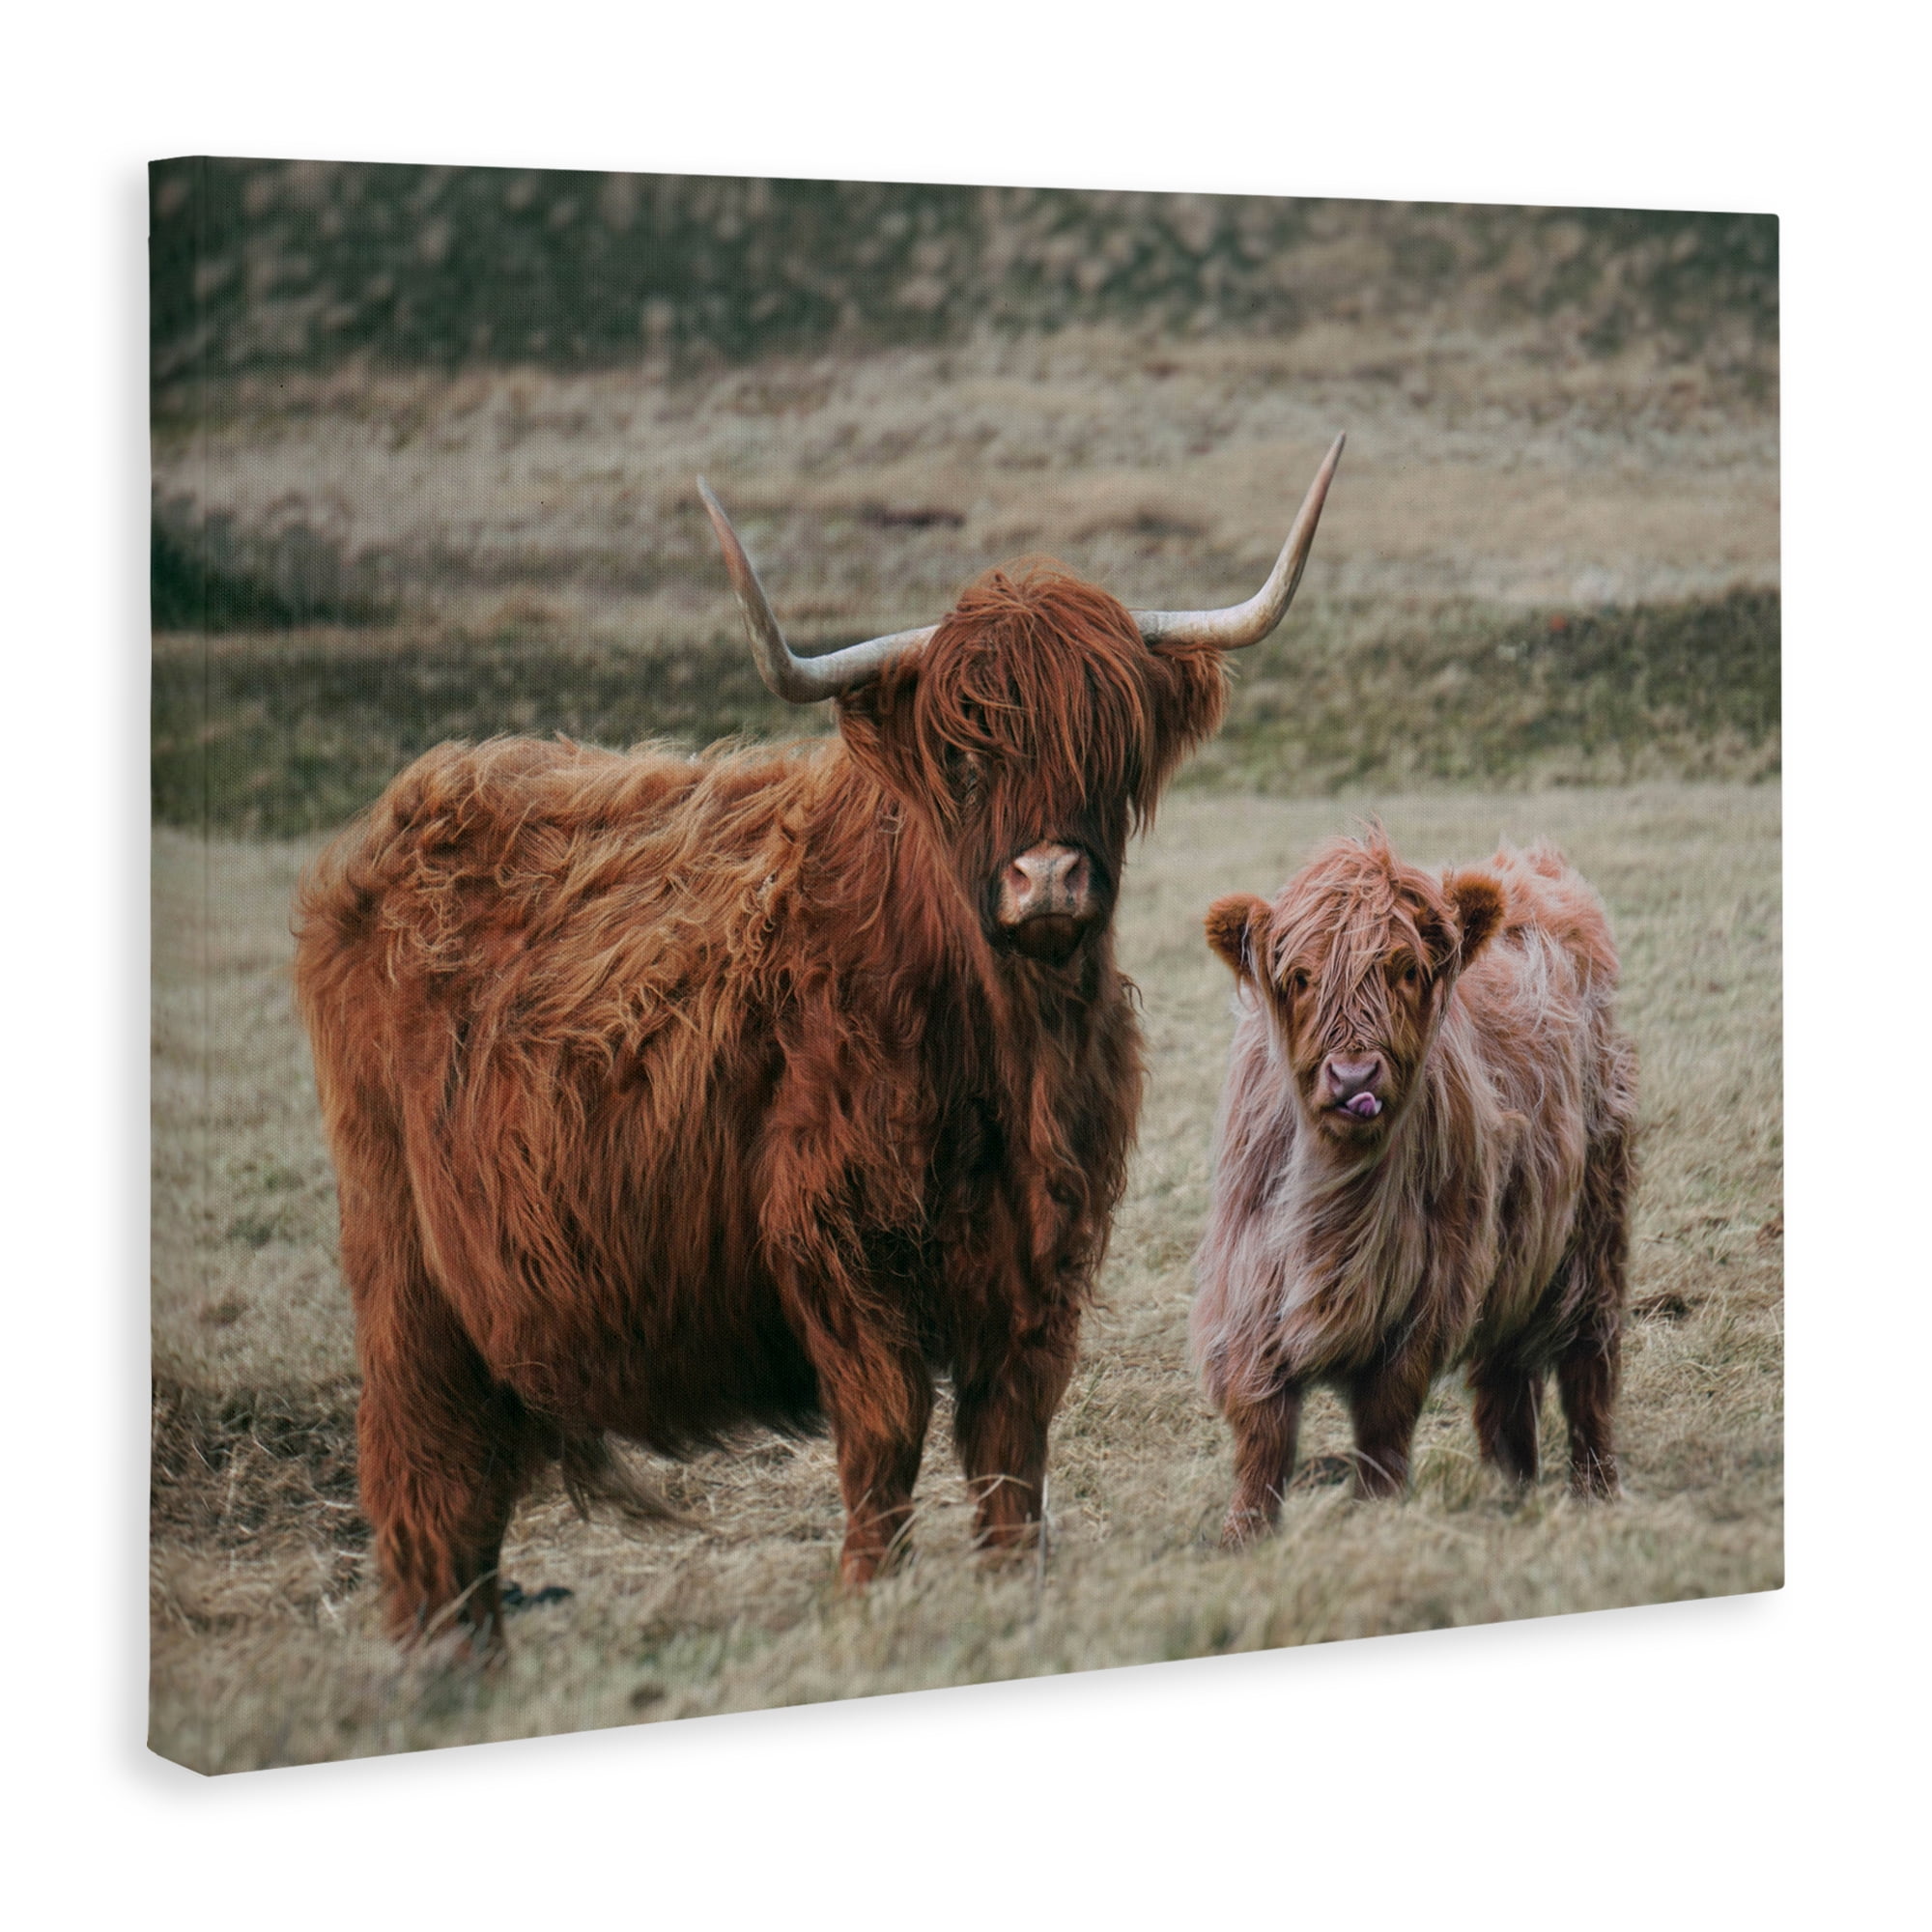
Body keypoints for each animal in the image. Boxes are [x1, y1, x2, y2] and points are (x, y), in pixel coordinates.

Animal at [293, 437, 1346, 1657]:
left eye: (1110, 743)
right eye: (961, 753)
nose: (1045, 879)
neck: (1000, 1050)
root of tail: (408, 809)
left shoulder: (1040, 1259)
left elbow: (1009, 1446)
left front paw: (1009, 1590)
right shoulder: (839, 1242)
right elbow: (883, 1437)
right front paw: (864, 1598)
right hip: (403, 1258)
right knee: (425, 1465)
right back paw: (445, 1660)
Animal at [1191, 830, 1636, 1544]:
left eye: (1405, 970)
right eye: (1301, 978)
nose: (1353, 1078)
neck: (1340, 1198)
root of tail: (1529, 864)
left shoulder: (1426, 1293)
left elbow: (1384, 1420)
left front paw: (1376, 1514)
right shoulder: (1251, 1285)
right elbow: (1262, 1427)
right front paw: (1244, 1534)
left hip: (1595, 1221)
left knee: (1588, 1362)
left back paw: (1595, 1490)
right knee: (1506, 1376)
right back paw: (1511, 1488)